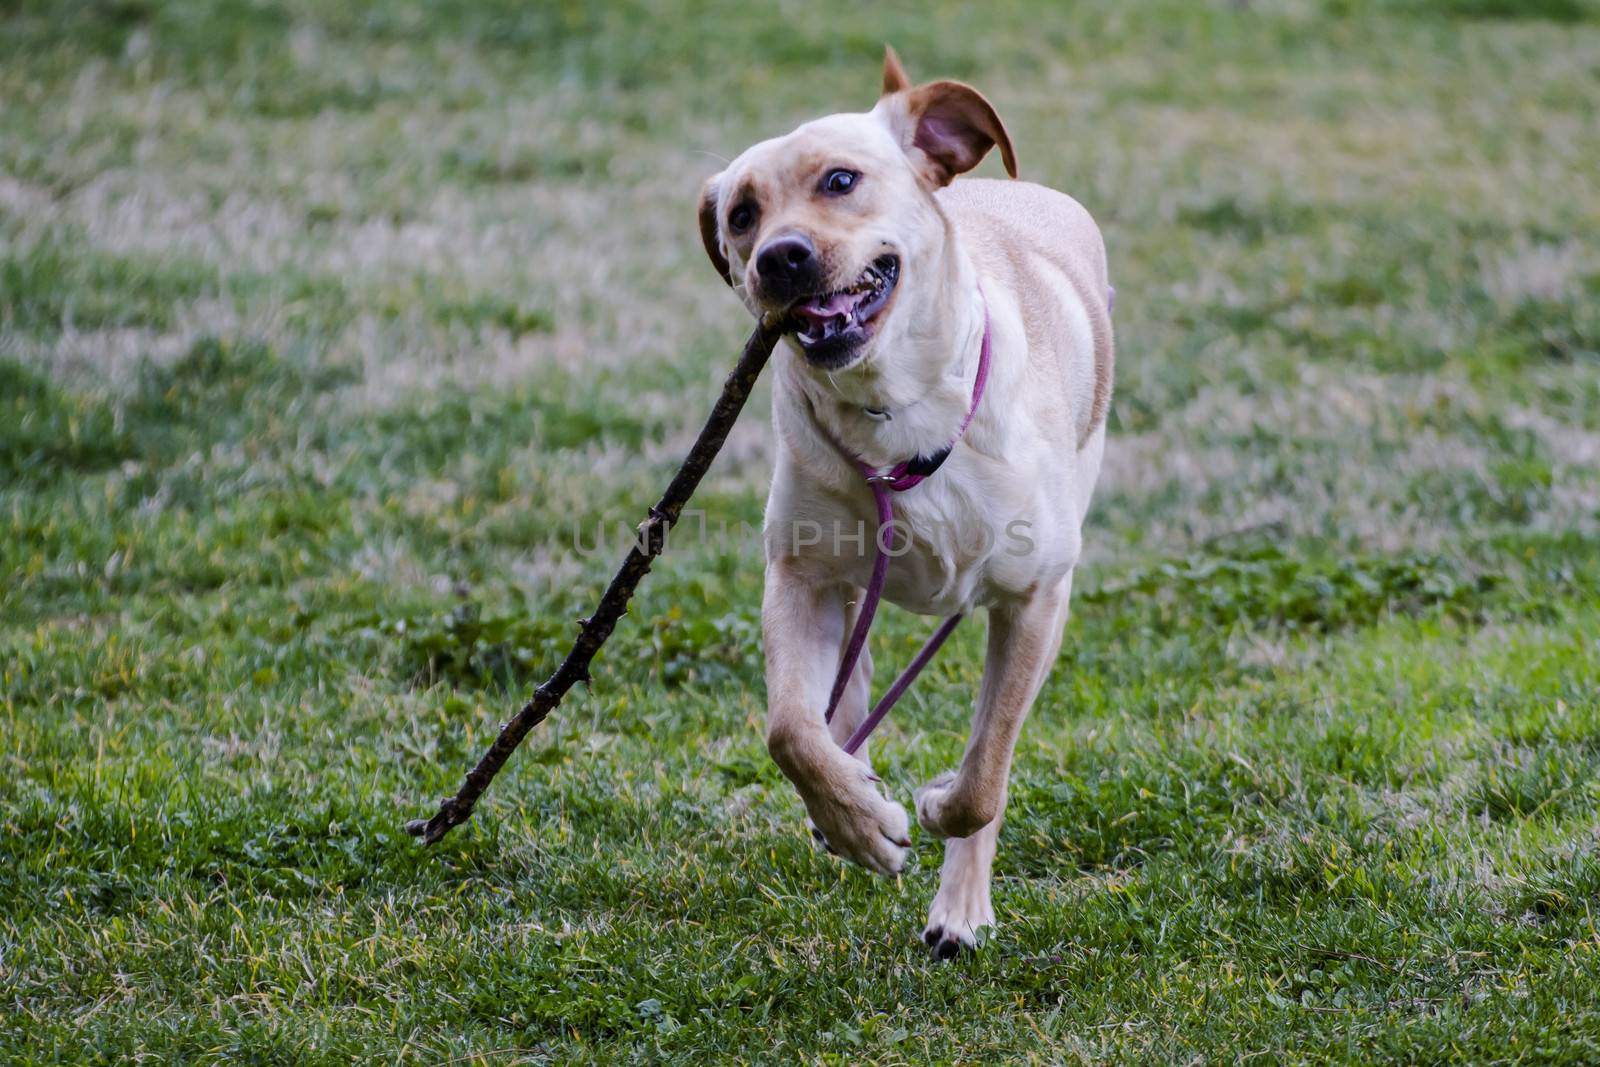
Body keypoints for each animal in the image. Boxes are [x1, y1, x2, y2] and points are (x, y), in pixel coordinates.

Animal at [700, 47, 1113, 959]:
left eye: (840, 180)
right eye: (741, 215)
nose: (777, 258)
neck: (896, 406)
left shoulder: (1035, 598)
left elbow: (985, 774)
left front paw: (933, 816)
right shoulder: (799, 571)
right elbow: (789, 729)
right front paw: (854, 818)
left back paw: (957, 905)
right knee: (834, 687)